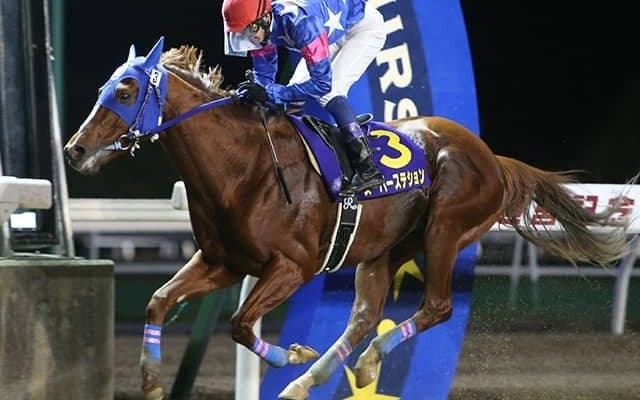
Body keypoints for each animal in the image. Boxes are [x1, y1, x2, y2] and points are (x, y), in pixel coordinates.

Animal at [63, 37, 635, 400]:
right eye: (102, 90)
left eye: (125, 91)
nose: (74, 150)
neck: (243, 166)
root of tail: (492, 157)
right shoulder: (222, 261)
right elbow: (160, 301)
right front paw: (152, 383)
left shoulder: (291, 266)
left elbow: (241, 323)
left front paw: (293, 354)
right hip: (385, 250)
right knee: (363, 316)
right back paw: (311, 383)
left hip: (446, 229)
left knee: (436, 307)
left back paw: (359, 363)